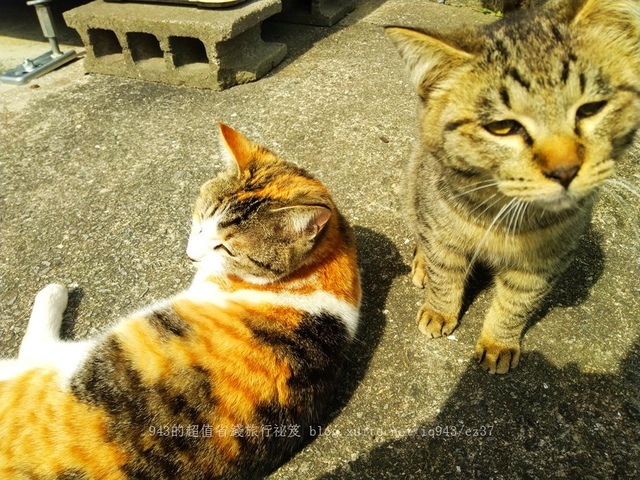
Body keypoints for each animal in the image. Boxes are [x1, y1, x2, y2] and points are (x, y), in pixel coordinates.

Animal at [384, 0, 640, 376]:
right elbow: (444, 275)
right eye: (503, 127)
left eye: (591, 109)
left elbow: (516, 303)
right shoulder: (442, 235)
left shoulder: (542, 261)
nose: (565, 170)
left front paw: (498, 342)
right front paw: (439, 310)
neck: (501, 212)